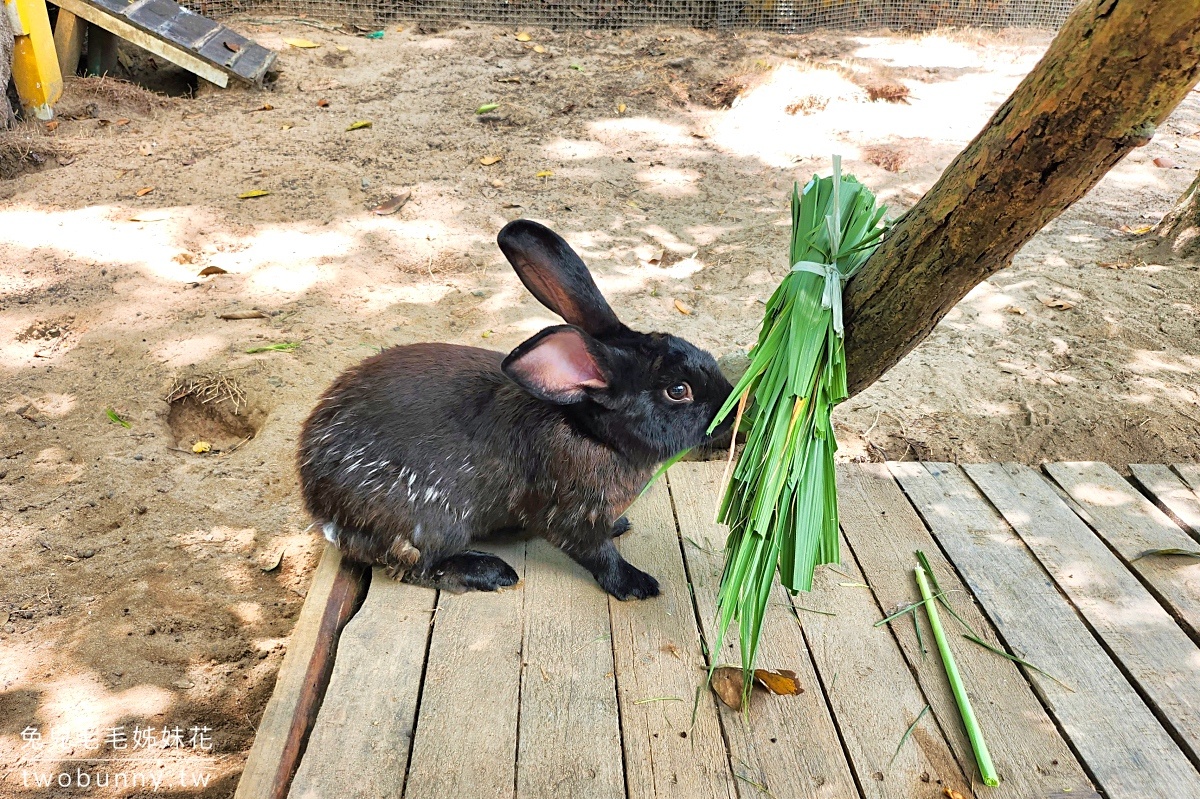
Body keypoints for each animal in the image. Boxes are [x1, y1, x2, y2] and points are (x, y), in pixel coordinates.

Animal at [298, 218, 729, 597]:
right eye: (678, 390)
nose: (734, 403)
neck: (591, 433)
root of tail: (321, 509)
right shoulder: (570, 515)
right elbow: (597, 554)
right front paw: (636, 585)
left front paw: (620, 525)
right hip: (431, 522)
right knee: (416, 565)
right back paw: (490, 572)